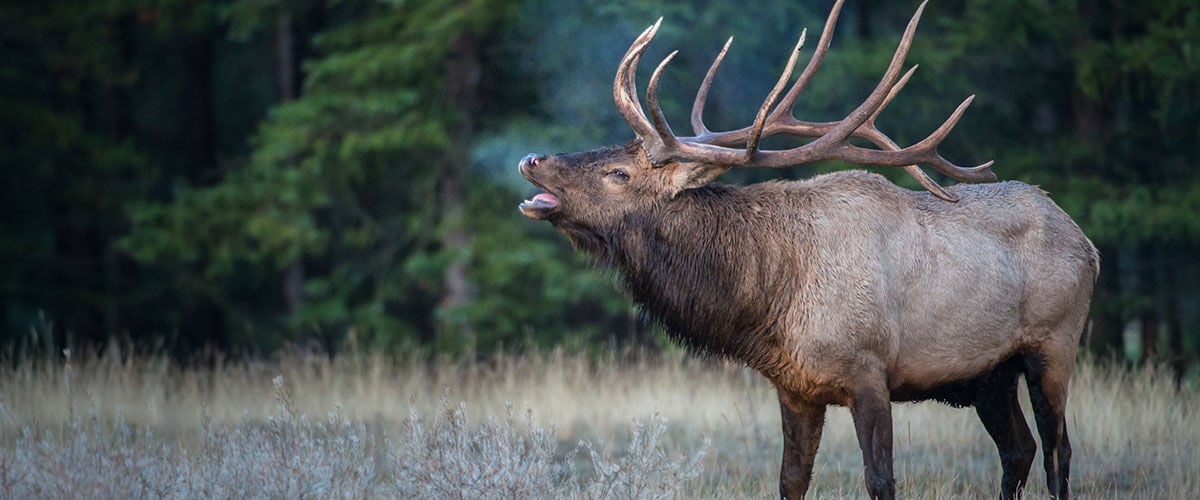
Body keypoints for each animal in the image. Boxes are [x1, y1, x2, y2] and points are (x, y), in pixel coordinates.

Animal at [516, 1, 1097, 498]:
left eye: (618, 173)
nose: (530, 159)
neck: (772, 297)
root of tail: (1087, 244)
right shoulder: (794, 386)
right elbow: (790, 480)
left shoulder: (870, 369)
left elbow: (880, 480)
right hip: (988, 376)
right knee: (1019, 449)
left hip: (1054, 344)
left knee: (1059, 453)